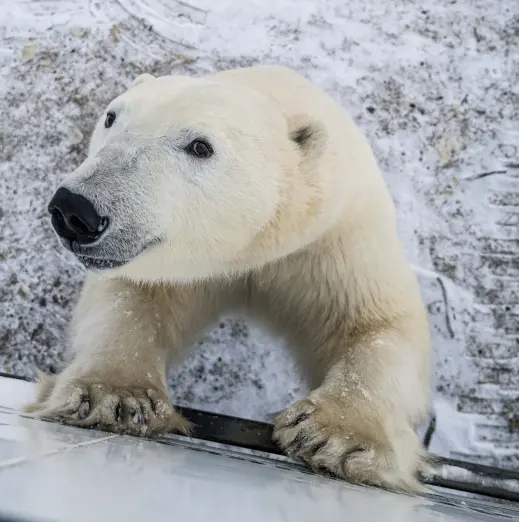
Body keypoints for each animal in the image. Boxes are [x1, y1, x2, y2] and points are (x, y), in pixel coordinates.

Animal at [27, 64, 430, 488]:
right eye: (111, 116)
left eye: (200, 146)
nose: (76, 210)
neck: (249, 249)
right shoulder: (170, 267)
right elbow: (130, 300)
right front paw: (114, 397)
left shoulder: (330, 238)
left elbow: (376, 324)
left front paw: (337, 437)